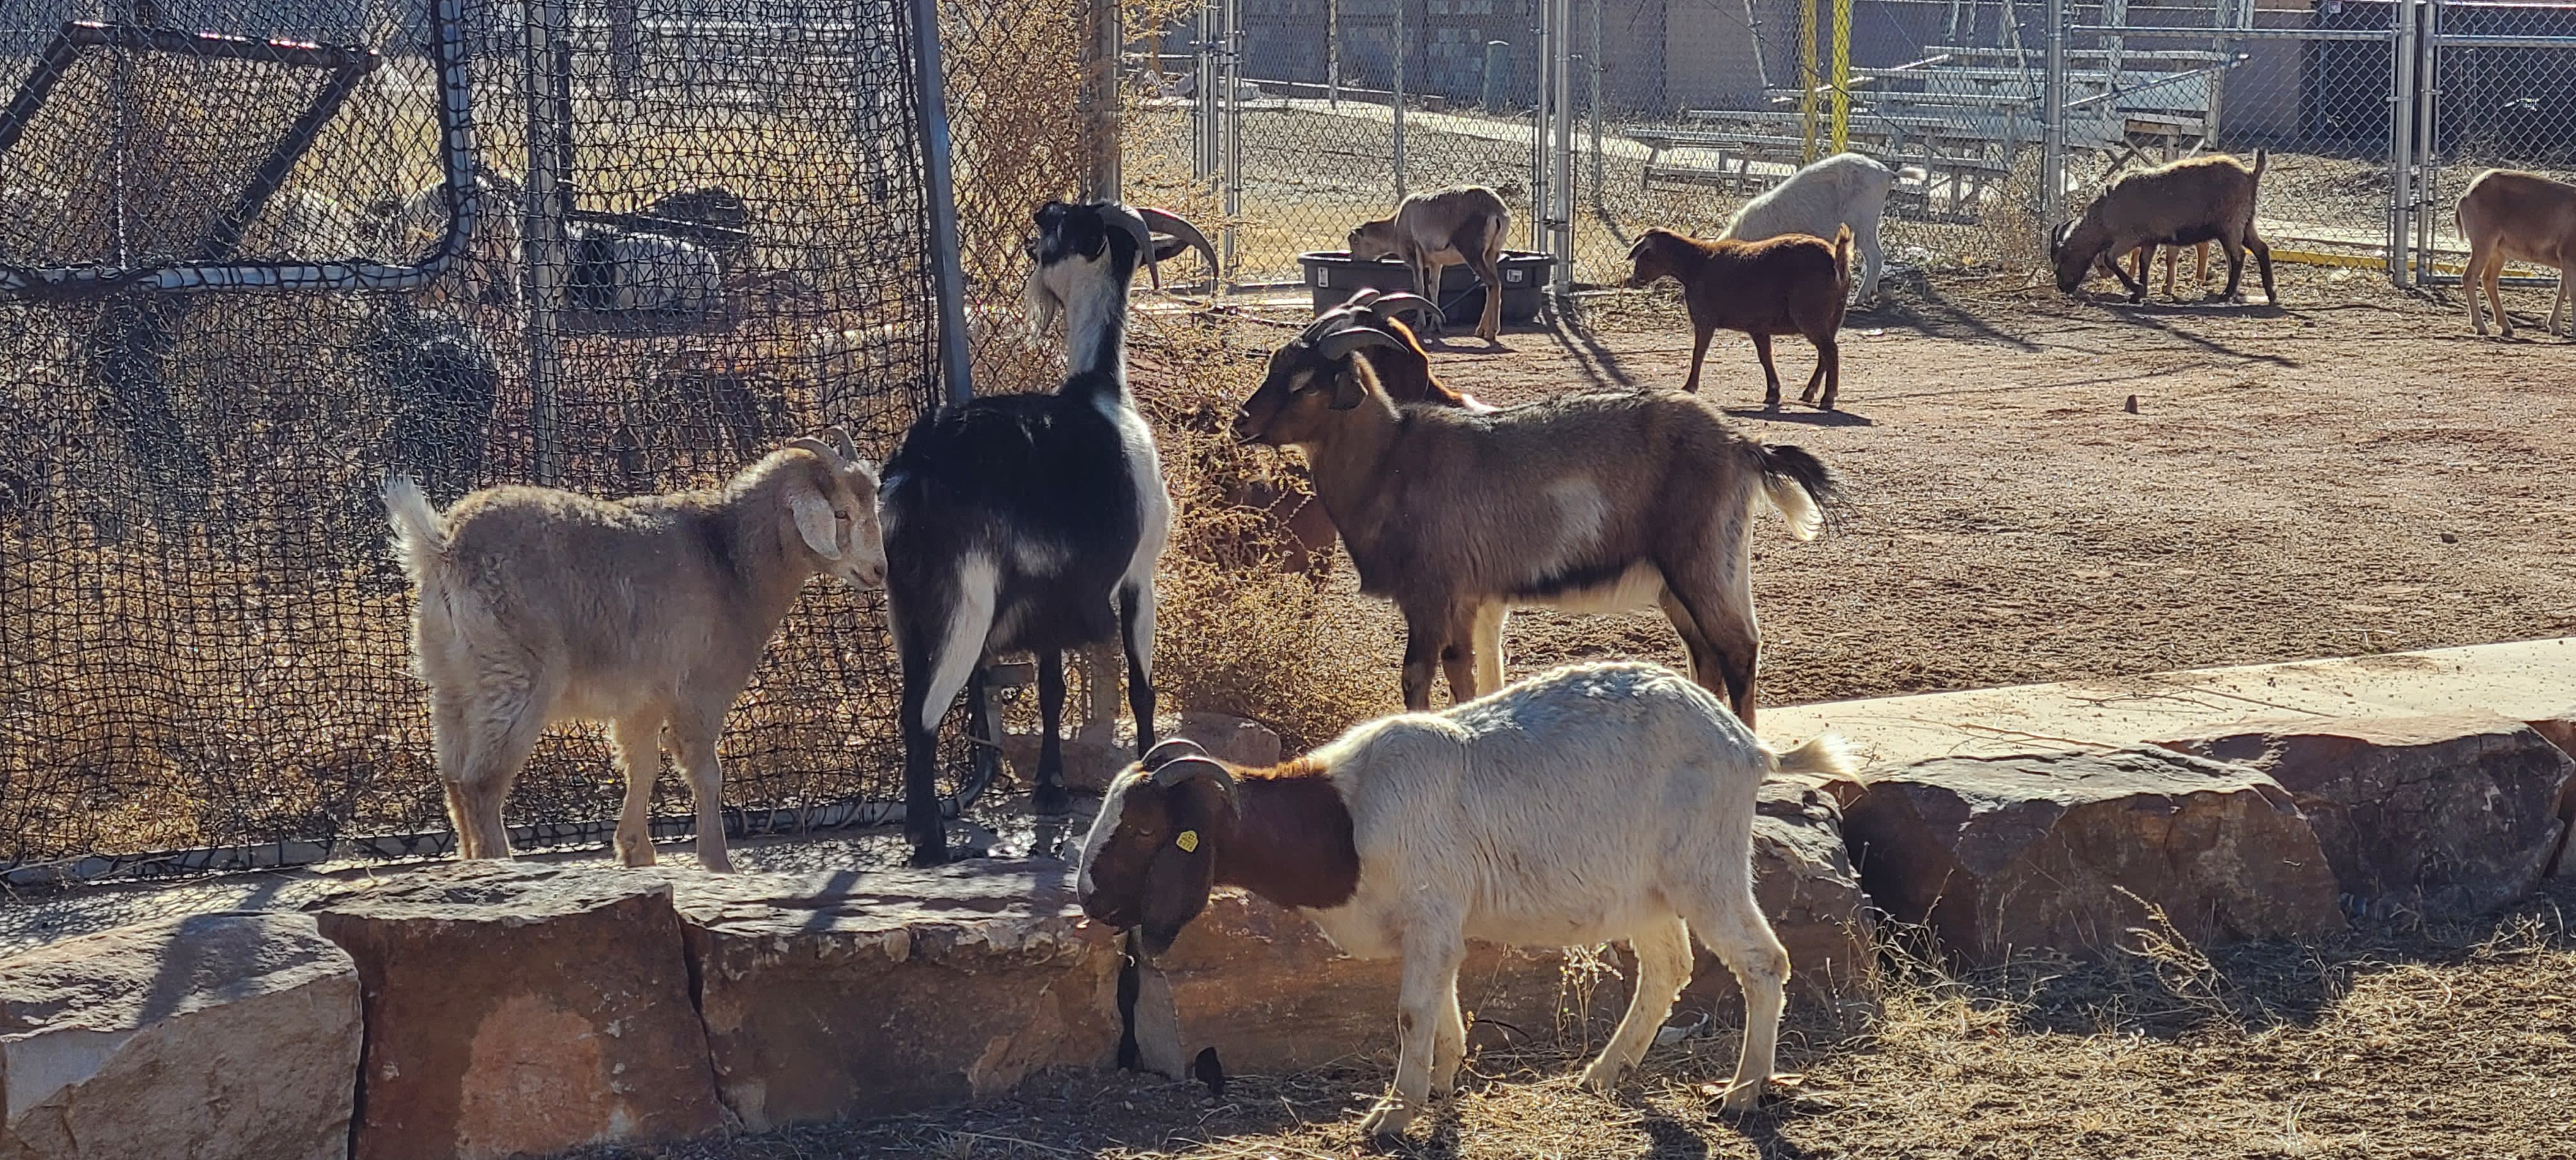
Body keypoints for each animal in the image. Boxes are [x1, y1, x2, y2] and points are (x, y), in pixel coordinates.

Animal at [0, 0, 1025, 881]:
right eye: (844, 511)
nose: (880, 571)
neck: (727, 554)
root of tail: (440, 545)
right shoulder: (694, 691)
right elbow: (705, 775)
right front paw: (715, 866)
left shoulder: (637, 700)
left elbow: (636, 770)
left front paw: (634, 853)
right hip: (513, 681)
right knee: (481, 782)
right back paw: (502, 874)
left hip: (450, 676)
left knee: (453, 777)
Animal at [880, 199, 1211, 866]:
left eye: (1065, 224)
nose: (1043, 211)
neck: (1102, 388)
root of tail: (915, 470)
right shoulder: (1140, 575)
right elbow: (1143, 686)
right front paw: (1149, 771)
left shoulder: (1052, 597)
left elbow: (1054, 686)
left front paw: (1051, 789)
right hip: (964, 605)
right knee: (922, 716)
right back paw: (931, 844)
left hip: (904, 611)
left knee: (910, 700)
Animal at [1628, 224, 1855, 409]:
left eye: (1645, 254)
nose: (1635, 279)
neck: (1696, 264)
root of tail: (1836, 258)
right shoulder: (1758, 327)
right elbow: (1765, 357)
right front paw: (1773, 393)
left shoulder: (1705, 319)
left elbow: (1699, 353)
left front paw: (1689, 387)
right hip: (1833, 317)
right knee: (1824, 354)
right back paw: (1809, 394)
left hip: (1810, 315)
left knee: (1830, 351)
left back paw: (1828, 398)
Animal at [2050, 149, 2277, 308]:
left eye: (2060, 262)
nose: (2063, 287)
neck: (2107, 209)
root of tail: (2251, 174)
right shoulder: (2150, 240)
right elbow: (2144, 262)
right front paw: (2139, 293)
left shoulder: (2128, 238)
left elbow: (2110, 259)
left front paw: (2137, 289)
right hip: (2246, 223)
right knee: (2261, 249)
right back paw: (2271, 293)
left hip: (2230, 226)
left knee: (2239, 255)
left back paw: (2227, 294)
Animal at [2452, 167, 2576, 340]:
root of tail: (2466, 196)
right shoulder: (2569, 257)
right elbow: (2573, 292)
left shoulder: (2565, 261)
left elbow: (2562, 289)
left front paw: (2555, 327)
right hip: (2484, 243)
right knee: (2470, 277)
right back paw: (2481, 327)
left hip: (2498, 251)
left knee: (2489, 280)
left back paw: (2506, 328)